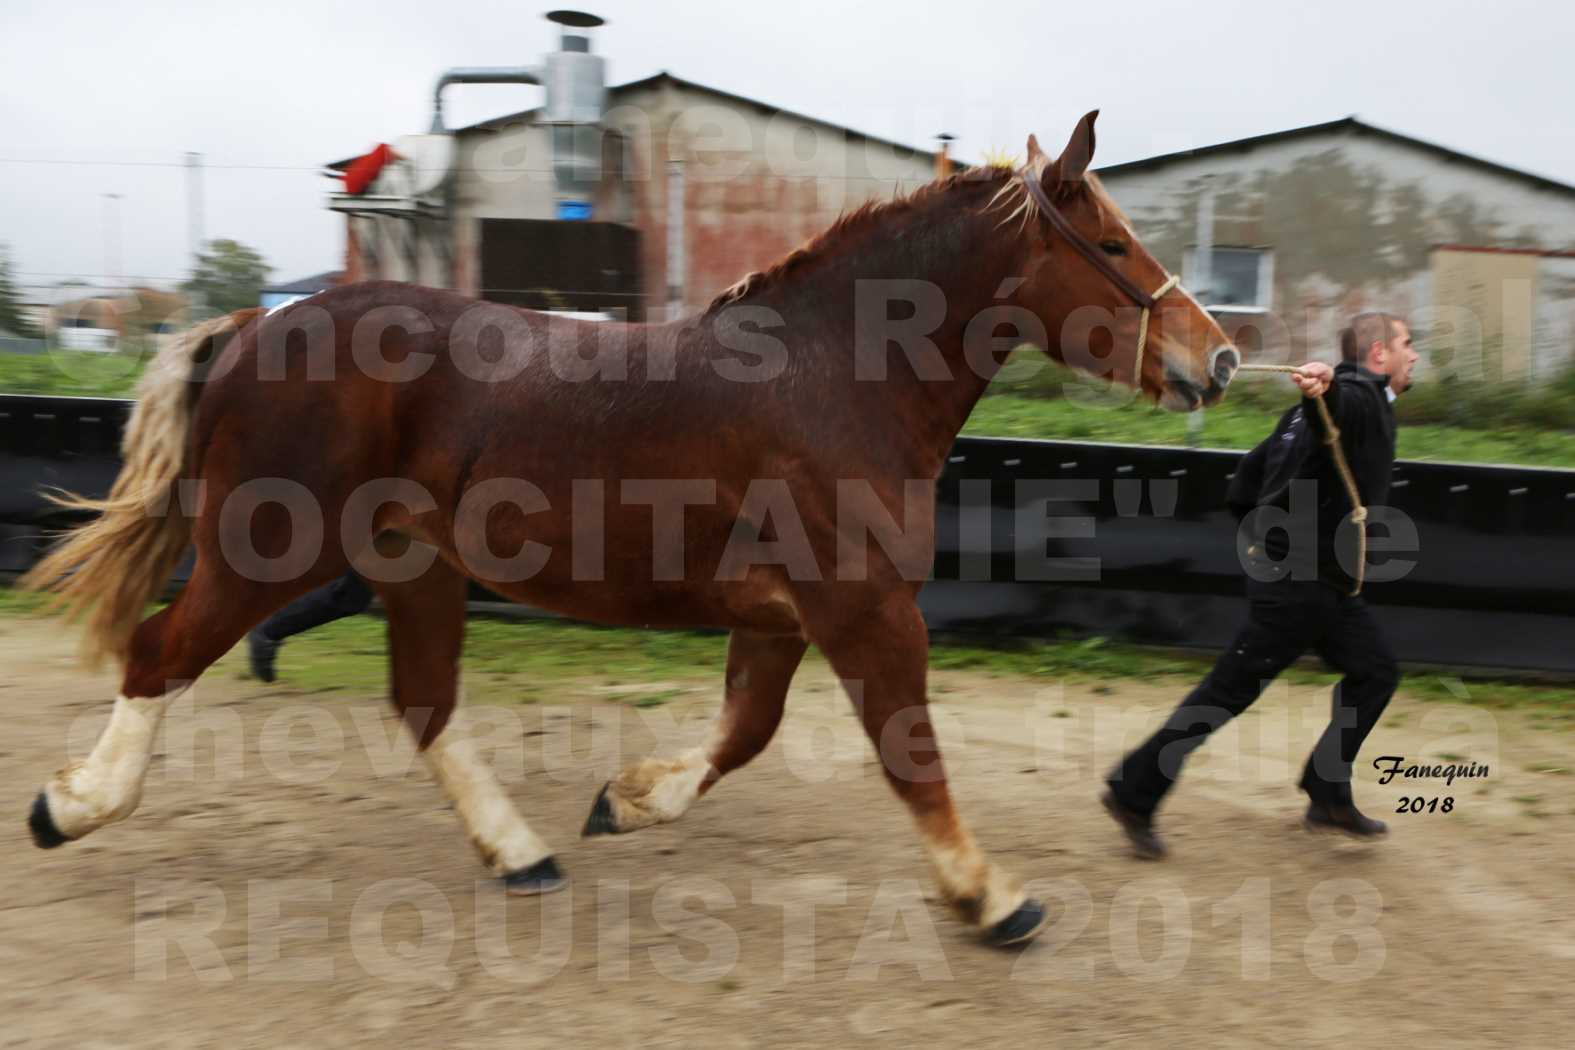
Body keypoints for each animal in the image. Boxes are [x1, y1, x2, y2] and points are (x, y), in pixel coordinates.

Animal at [18, 110, 1234, 950]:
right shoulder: (866, 609)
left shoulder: (785, 618)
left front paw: (629, 799)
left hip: (412, 565)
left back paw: (521, 854)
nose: (1215, 358)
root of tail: (248, 328)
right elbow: (909, 755)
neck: (835, 376)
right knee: (161, 653)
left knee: (423, 702)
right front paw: (993, 898)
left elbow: (745, 734)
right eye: (1112, 243)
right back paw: (69, 807)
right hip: (266, 549)